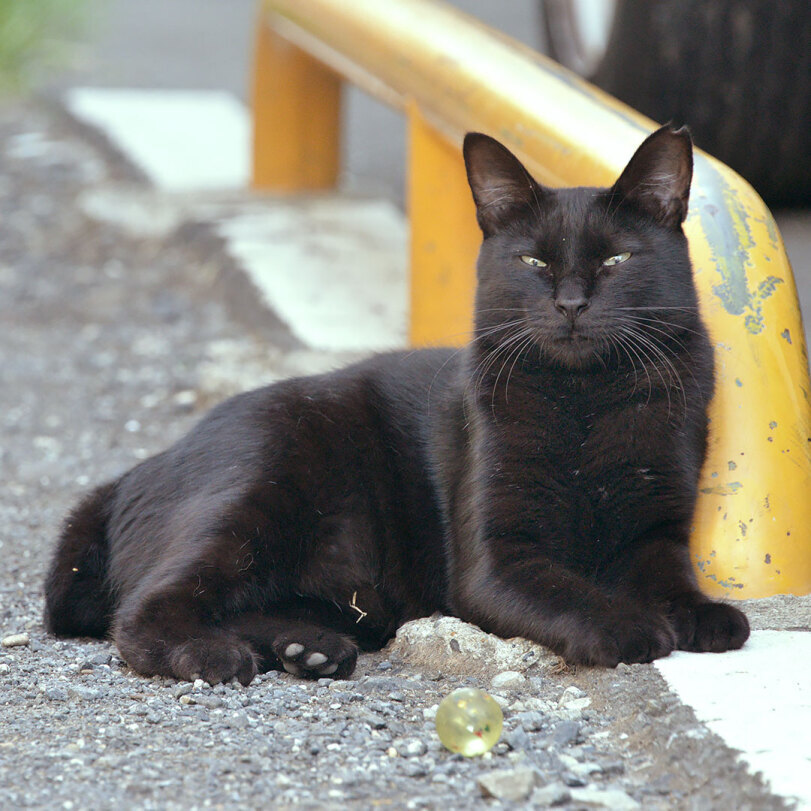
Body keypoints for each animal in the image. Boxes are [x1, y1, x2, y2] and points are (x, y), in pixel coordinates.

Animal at [44, 127, 752, 684]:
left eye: (616, 259)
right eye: (532, 261)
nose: (572, 303)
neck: (587, 401)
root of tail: (135, 471)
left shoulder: (657, 530)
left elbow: (671, 579)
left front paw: (706, 616)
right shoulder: (497, 561)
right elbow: (567, 589)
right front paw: (631, 627)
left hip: (346, 590)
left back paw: (311, 651)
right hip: (254, 485)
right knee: (146, 608)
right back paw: (213, 656)